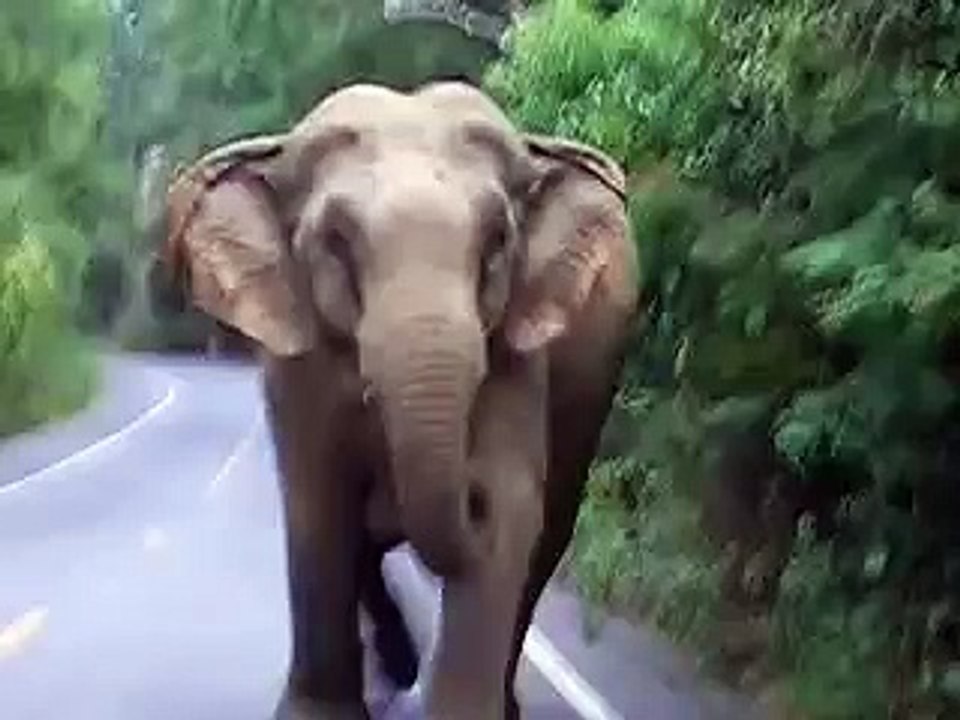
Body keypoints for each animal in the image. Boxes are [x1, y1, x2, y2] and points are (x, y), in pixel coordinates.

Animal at [159, 81, 639, 719]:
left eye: (497, 243)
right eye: (336, 243)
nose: (468, 487)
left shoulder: (519, 355)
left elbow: (511, 511)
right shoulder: (297, 363)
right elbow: (319, 503)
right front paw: (317, 715)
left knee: (548, 536)